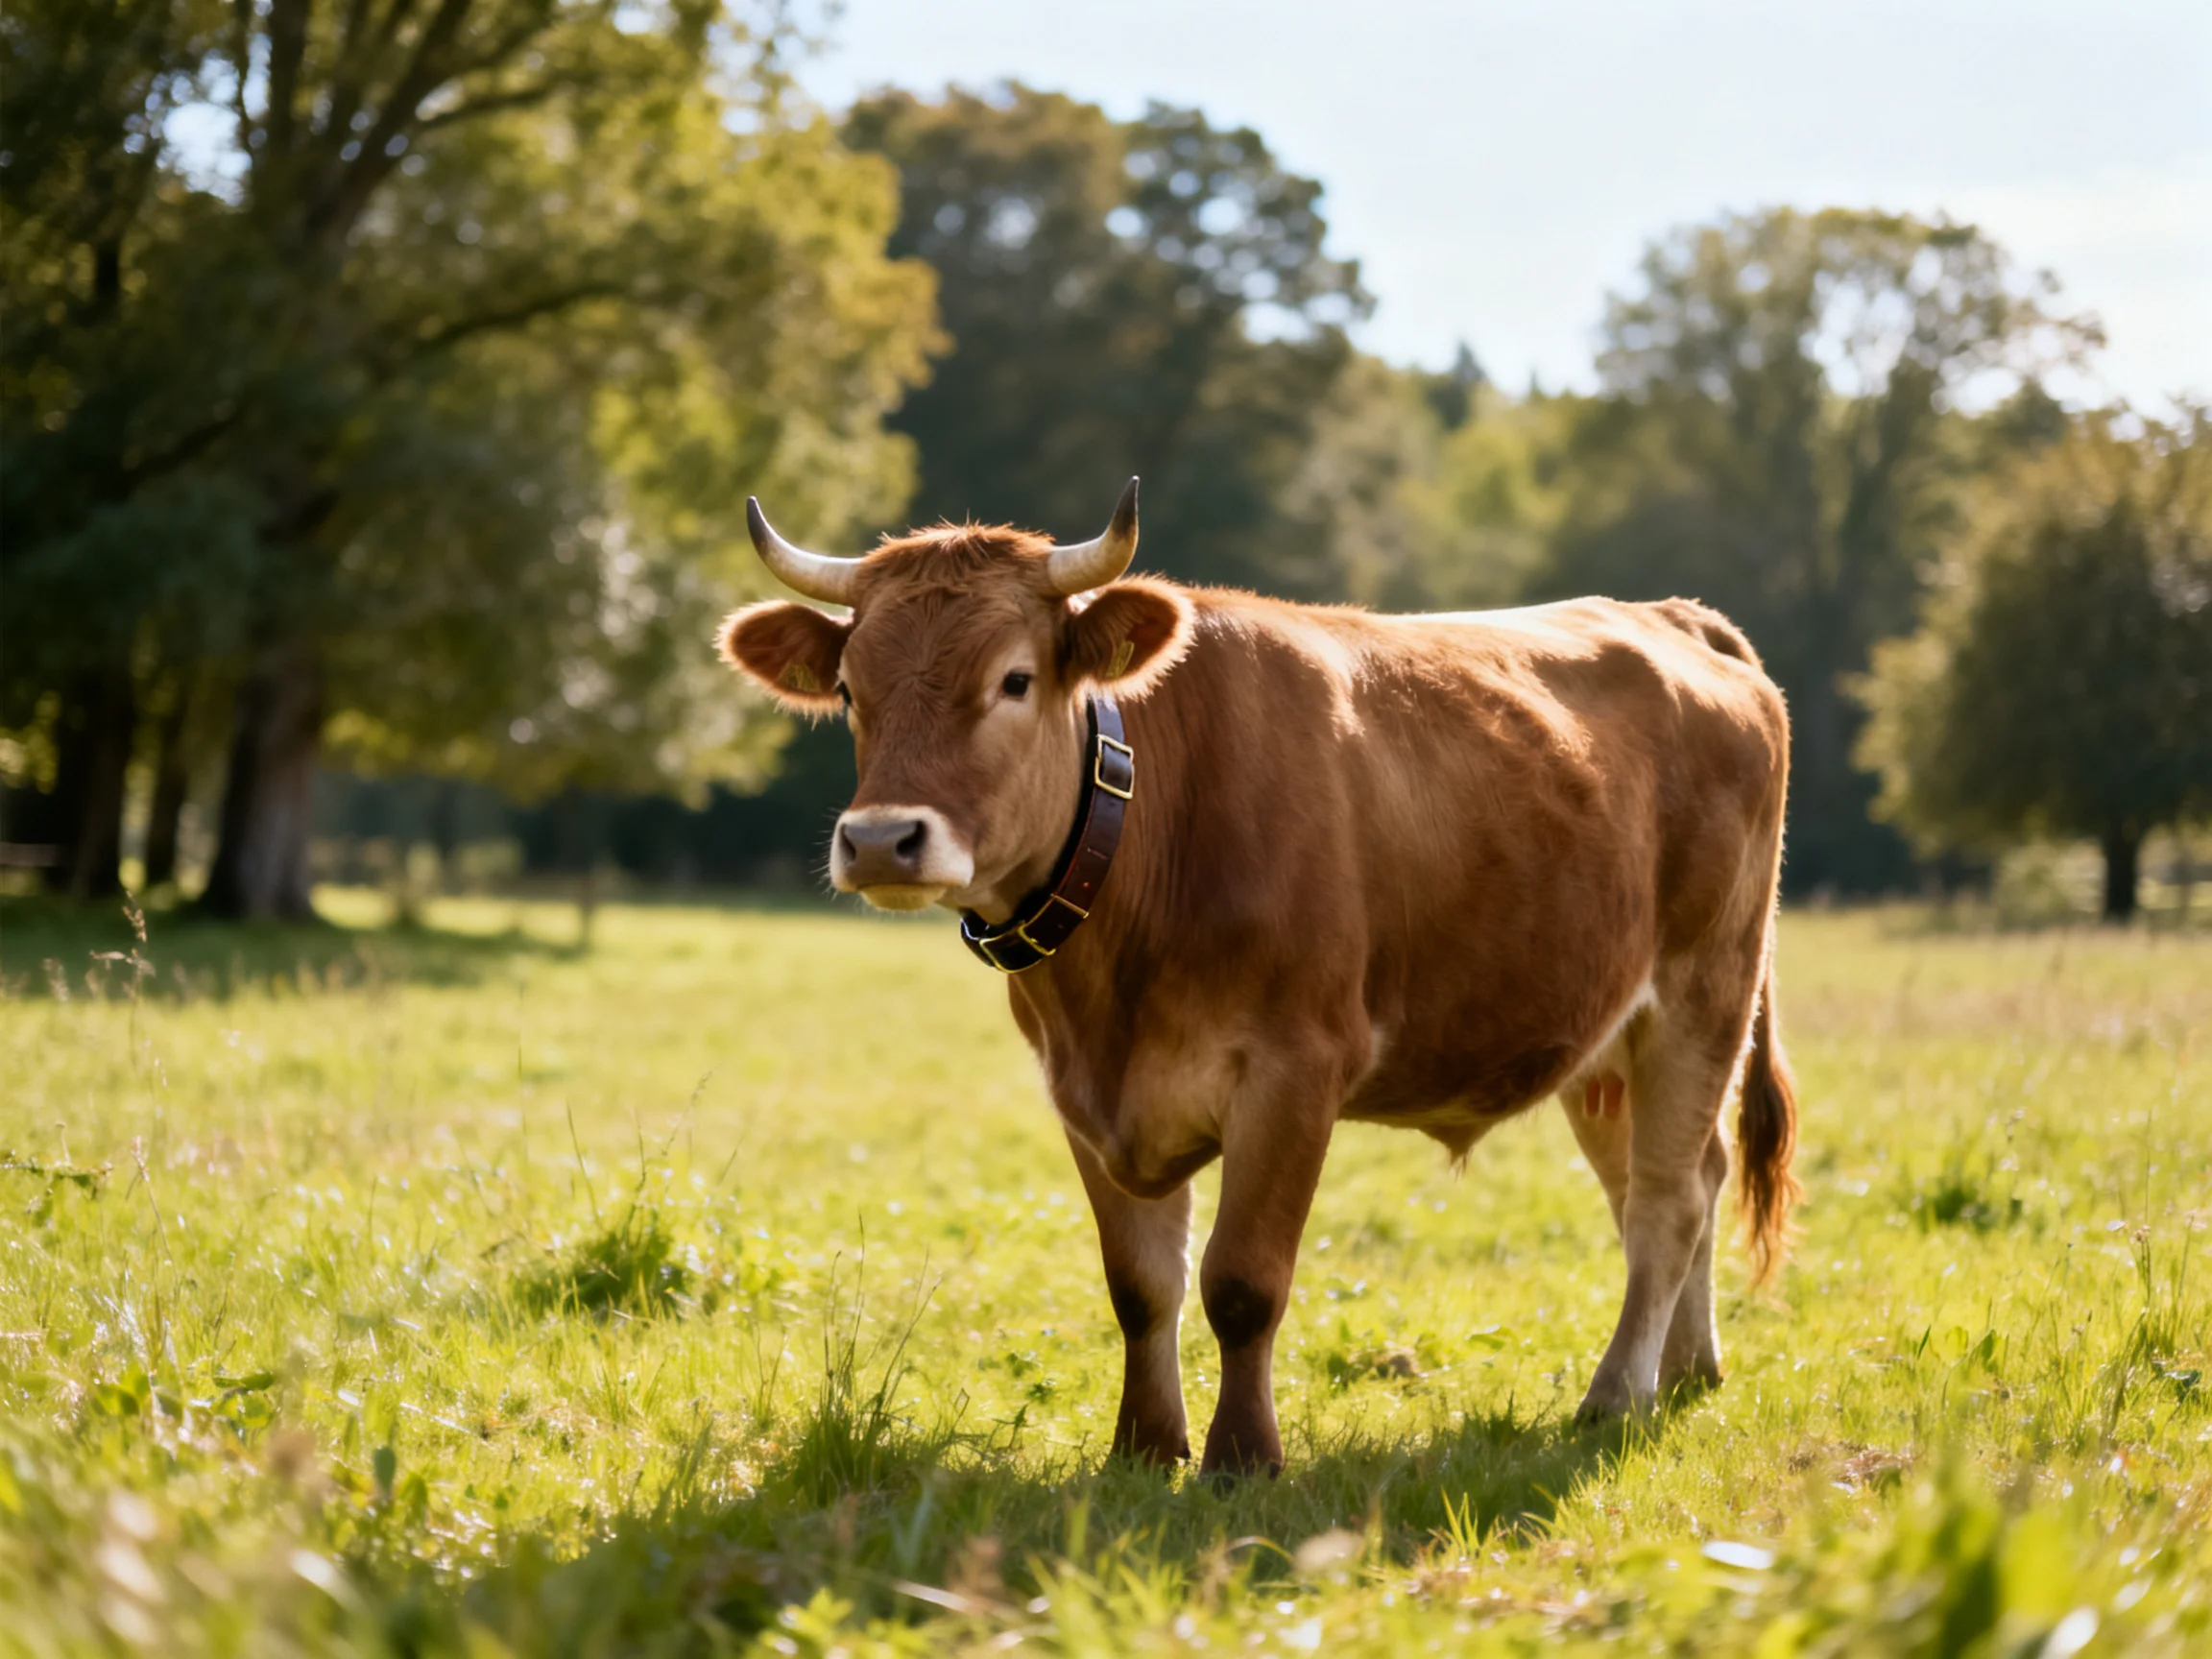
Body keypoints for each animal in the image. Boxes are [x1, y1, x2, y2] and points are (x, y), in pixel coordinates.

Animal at [718, 479, 1799, 1476]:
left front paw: (1242, 1459)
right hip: (1601, 1038)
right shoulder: (1083, 1094)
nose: (880, 840)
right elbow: (1139, 1286)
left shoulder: (1295, 1071)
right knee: (1675, 1180)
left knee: (1666, 1198)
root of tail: (1668, 613)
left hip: (1704, 992)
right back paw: (1686, 1368)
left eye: (1015, 679)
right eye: (849, 691)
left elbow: (1241, 1282)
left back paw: (1616, 1396)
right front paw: (1145, 1448)